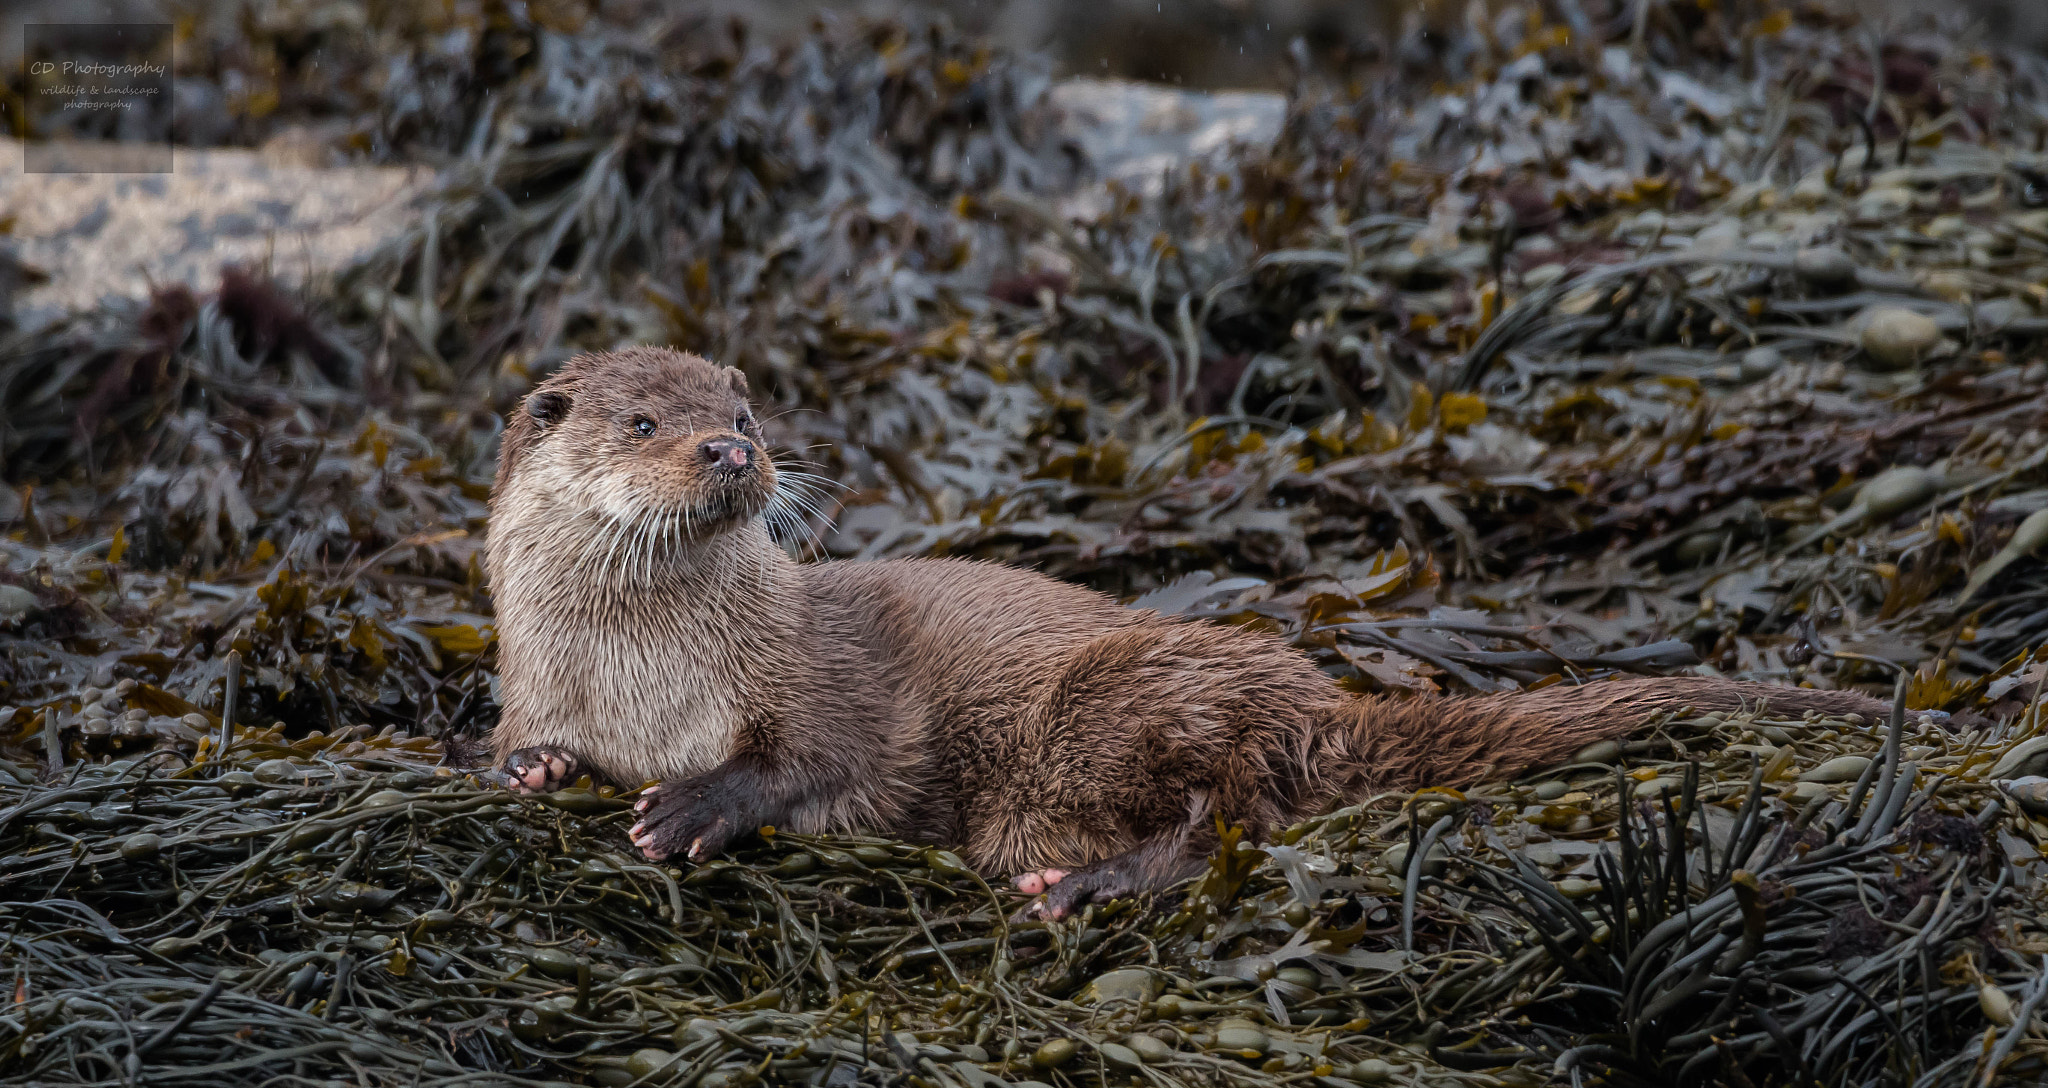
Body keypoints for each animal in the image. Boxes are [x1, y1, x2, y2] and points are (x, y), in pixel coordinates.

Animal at [486, 347, 1891, 917]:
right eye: (642, 422)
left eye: (744, 410)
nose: (732, 451)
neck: (640, 677)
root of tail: (1314, 697)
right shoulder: (542, 683)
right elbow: (518, 744)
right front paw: (535, 766)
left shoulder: (821, 678)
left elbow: (813, 757)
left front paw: (689, 806)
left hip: (1115, 703)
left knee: (1234, 821)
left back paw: (1088, 882)